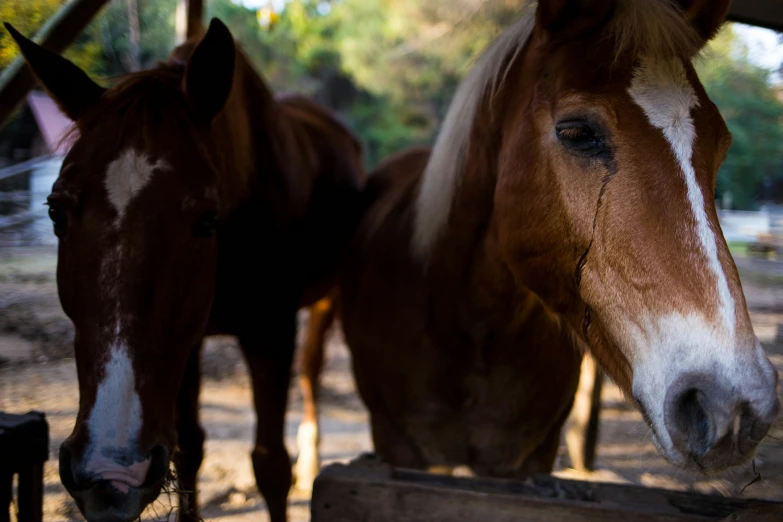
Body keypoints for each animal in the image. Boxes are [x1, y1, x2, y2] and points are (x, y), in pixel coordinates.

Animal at [6, 18, 364, 520]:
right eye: (55, 211)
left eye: (208, 219)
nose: (110, 476)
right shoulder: (186, 341)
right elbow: (190, 448)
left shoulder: (271, 333)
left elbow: (271, 464)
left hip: (325, 301)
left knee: (311, 372)